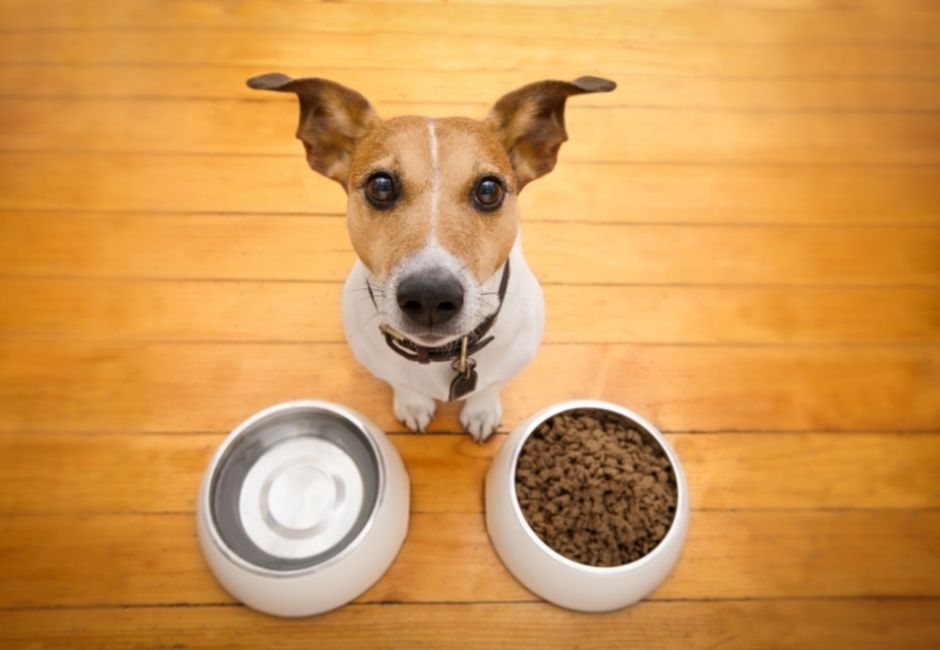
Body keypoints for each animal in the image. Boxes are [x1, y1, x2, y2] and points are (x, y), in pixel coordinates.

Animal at [250, 74, 616, 440]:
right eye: (381, 186)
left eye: (489, 190)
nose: (430, 296)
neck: (444, 353)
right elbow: (403, 385)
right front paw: (413, 406)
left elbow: (489, 387)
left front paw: (481, 411)